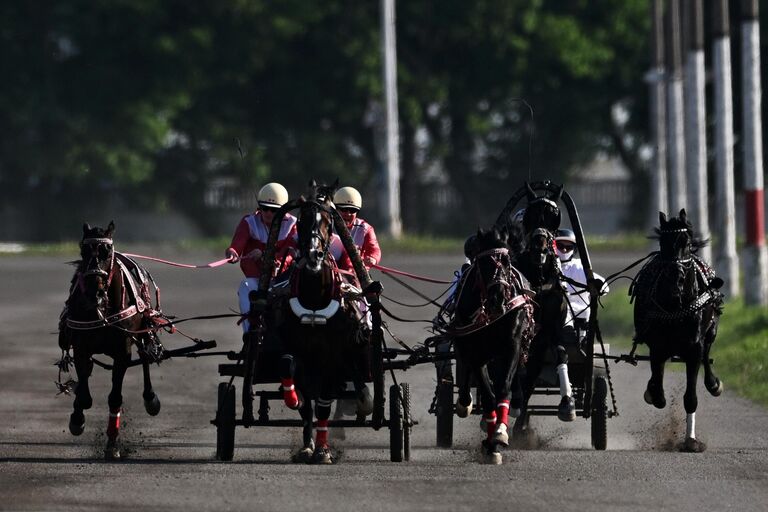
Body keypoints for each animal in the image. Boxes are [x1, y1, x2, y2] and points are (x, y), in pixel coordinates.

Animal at [59, 223, 164, 460]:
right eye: (83, 251)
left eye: (107, 253)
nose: (94, 292)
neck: (102, 311)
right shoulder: (81, 348)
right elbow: (84, 395)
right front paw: (77, 419)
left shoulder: (122, 352)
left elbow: (115, 397)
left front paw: (112, 444)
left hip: (142, 331)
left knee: (145, 358)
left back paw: (150, 399)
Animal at [276, 181, 366, 464]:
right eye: (302, 220)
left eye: (327, 221)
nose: (314, 254)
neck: (315, 299)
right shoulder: (296, 348)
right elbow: (291, 373)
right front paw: (307, 445)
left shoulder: (333, 356)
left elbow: (324, 402)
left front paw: (323, 450)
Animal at [450, 227, 536, 464]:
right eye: (483, 263)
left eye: (507, 262)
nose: (498, 297)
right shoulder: (475, 351)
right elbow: (488, 397)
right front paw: (491, 444)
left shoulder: (512, 345)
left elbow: (503, 386)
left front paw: (499, 433)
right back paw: (465, 403)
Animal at [632, 209, 728, 452]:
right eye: (663, 243)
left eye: (686, 242)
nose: (676, 278)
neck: (676, 303)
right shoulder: (657, 347)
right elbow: (658, 390)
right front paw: (653, 393)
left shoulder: (693, 348)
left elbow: (691, 396)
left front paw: (691, 441)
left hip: (710, 332)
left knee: (707, 354)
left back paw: (713, 384)